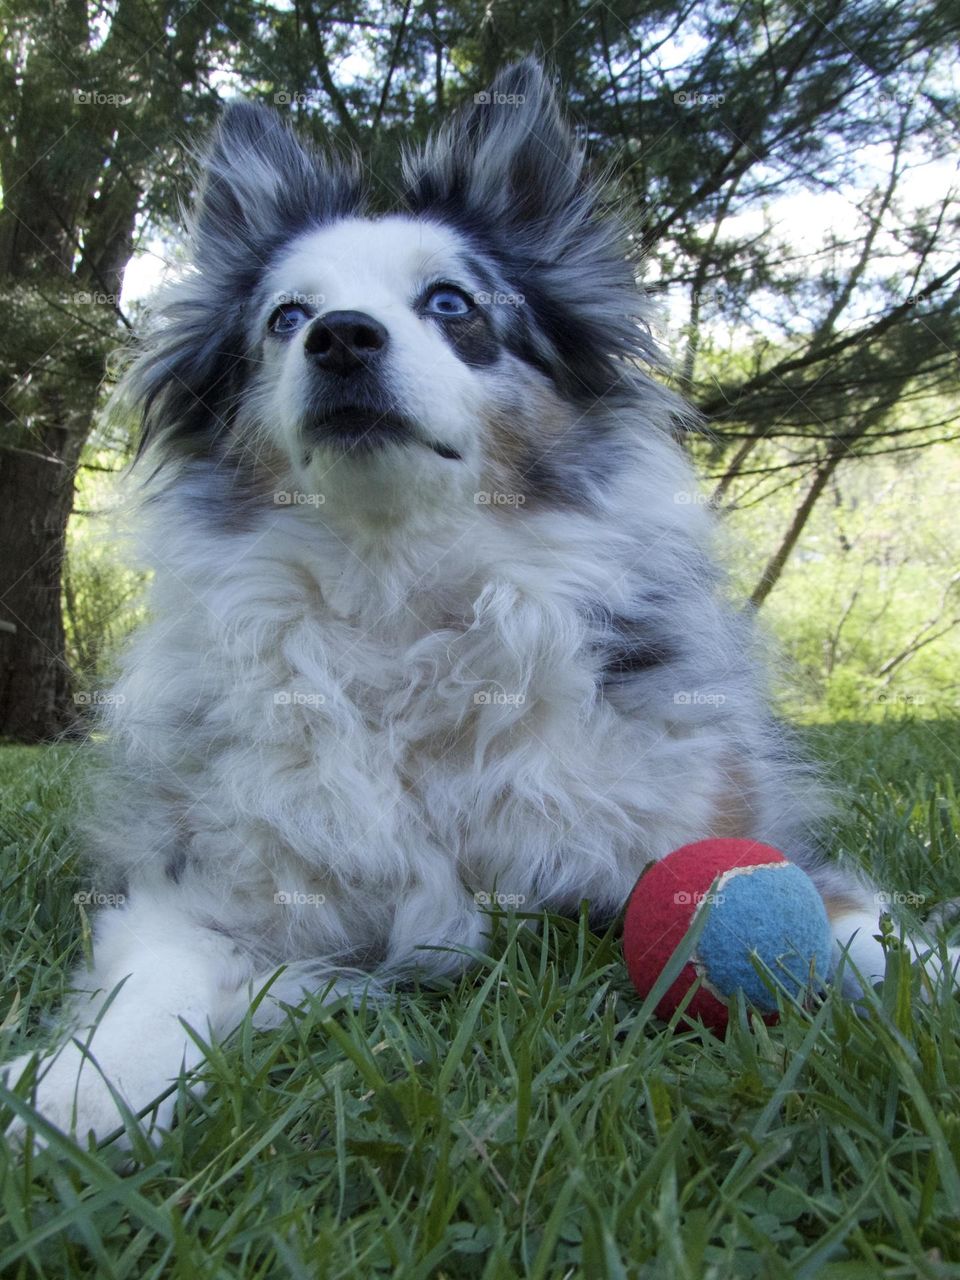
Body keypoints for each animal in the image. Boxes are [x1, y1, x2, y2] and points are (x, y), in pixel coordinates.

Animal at [5, 60, 957, 1146]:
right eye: (286, 317)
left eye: (450, 302)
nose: (340, 338)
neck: (400, 596)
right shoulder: (206, 883)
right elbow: (152, 979)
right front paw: (75, 1089)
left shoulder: (707, 828)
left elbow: (852, 923)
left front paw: (924, 969)